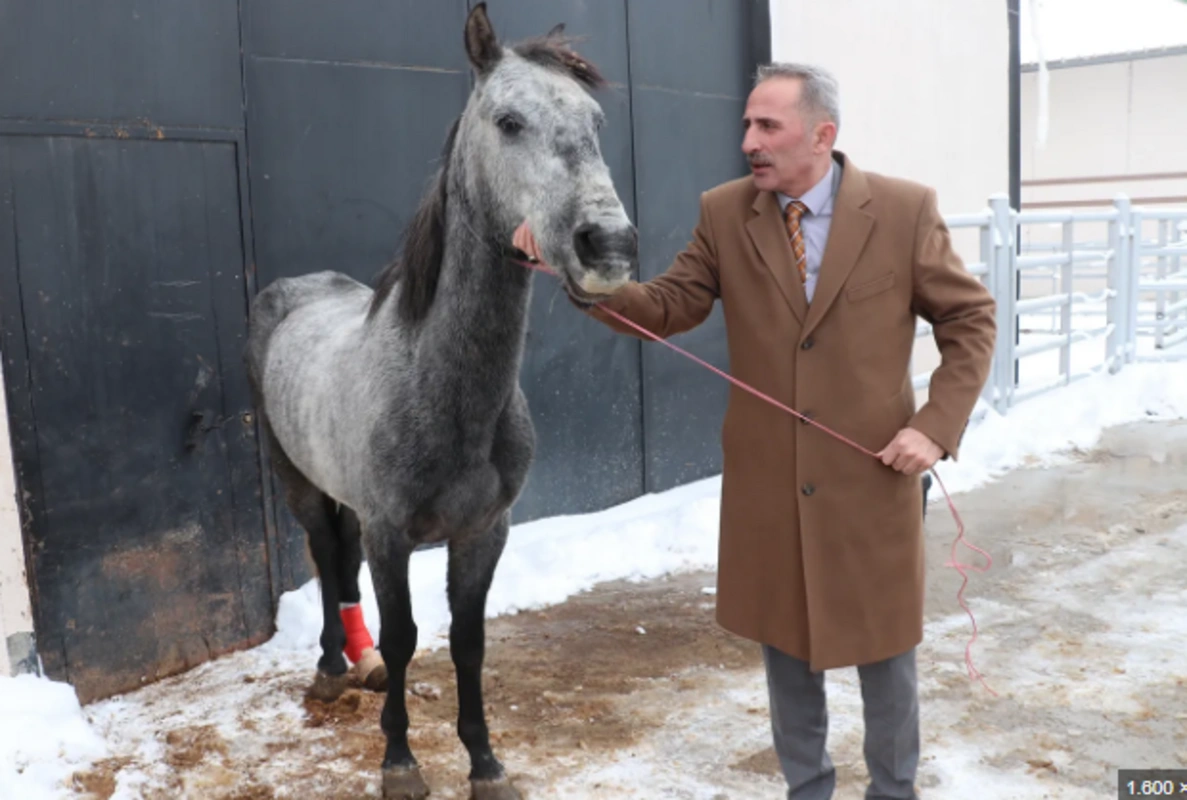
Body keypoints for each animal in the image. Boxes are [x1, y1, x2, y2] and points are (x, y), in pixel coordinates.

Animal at [240, 3, 636, 792]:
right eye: (508, 121)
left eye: (596, 120)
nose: (606, 245)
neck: (439, 385)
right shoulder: (392, 533)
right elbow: (404, 639)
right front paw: (399, 760)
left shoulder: (484, 531)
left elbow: (468, 641)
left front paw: (484, 761)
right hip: (298, 481)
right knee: (323, 553)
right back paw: (331, 668)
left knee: (339, 561)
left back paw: (351, 663)